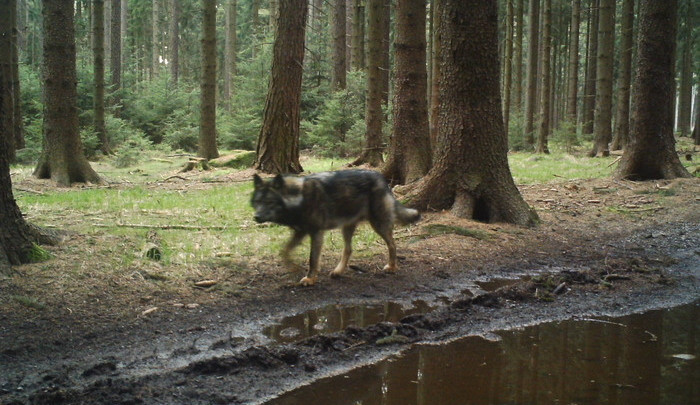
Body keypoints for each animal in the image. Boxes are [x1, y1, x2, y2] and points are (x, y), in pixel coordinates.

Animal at [250, 169, 418, 286]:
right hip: (347, 227)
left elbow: (312, 259)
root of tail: (381, 177)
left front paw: (310, 279)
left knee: (392, 244)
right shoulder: (300, 232)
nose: (256, 217)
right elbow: (284, 252)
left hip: (378, 225)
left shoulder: (316, 233)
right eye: (257, 202)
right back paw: (338, 271)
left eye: (269, 202)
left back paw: (392, 267)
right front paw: (294, 268)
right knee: (348, 249)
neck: (299, 197)